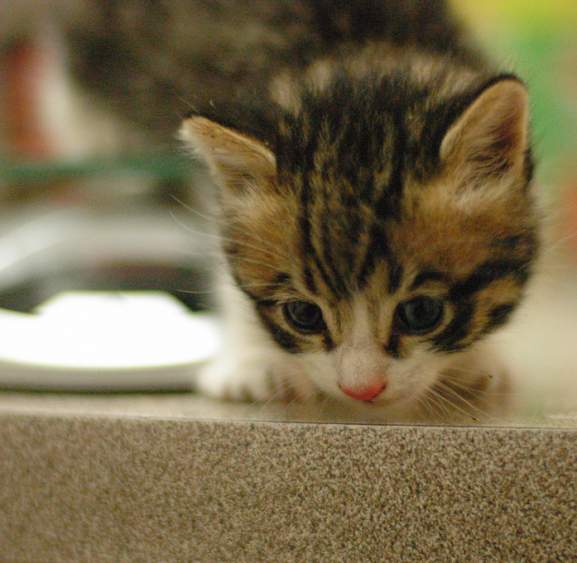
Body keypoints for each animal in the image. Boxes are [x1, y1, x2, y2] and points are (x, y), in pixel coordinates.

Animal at [50, 1, 540, 424]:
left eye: (421, 312)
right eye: (303, 315)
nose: (362, 389)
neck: (356, 53)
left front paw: (476, 360)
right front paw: (252, 363)